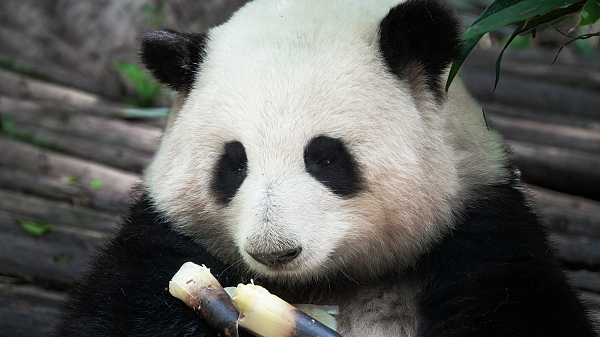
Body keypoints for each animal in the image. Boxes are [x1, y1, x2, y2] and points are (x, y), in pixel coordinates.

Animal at [55, 0, 596, 334]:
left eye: (326, 157)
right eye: (233, 164)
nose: (274, 250)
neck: (326, 281)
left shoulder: (483, 233)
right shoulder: (161, 238)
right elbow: (119, 311)